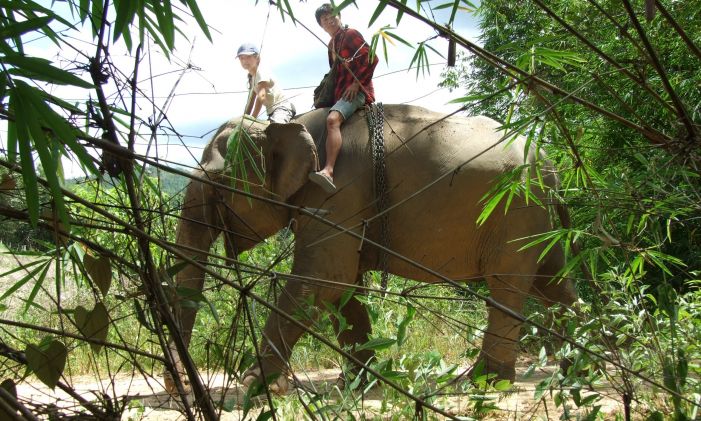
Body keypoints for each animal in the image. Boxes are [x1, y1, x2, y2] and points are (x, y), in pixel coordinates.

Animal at [164, 103, 576, 392]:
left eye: (217, 183)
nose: (181, 383)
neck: (293, 124)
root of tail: (551, 163)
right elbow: (344, 288)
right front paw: (358, 384)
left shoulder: (339, 192)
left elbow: (325, 276)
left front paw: (255, 385)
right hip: (537, 222)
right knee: (553, 283)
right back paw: (578, 367)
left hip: (515, 210)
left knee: (507, 286)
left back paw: (485, 382)